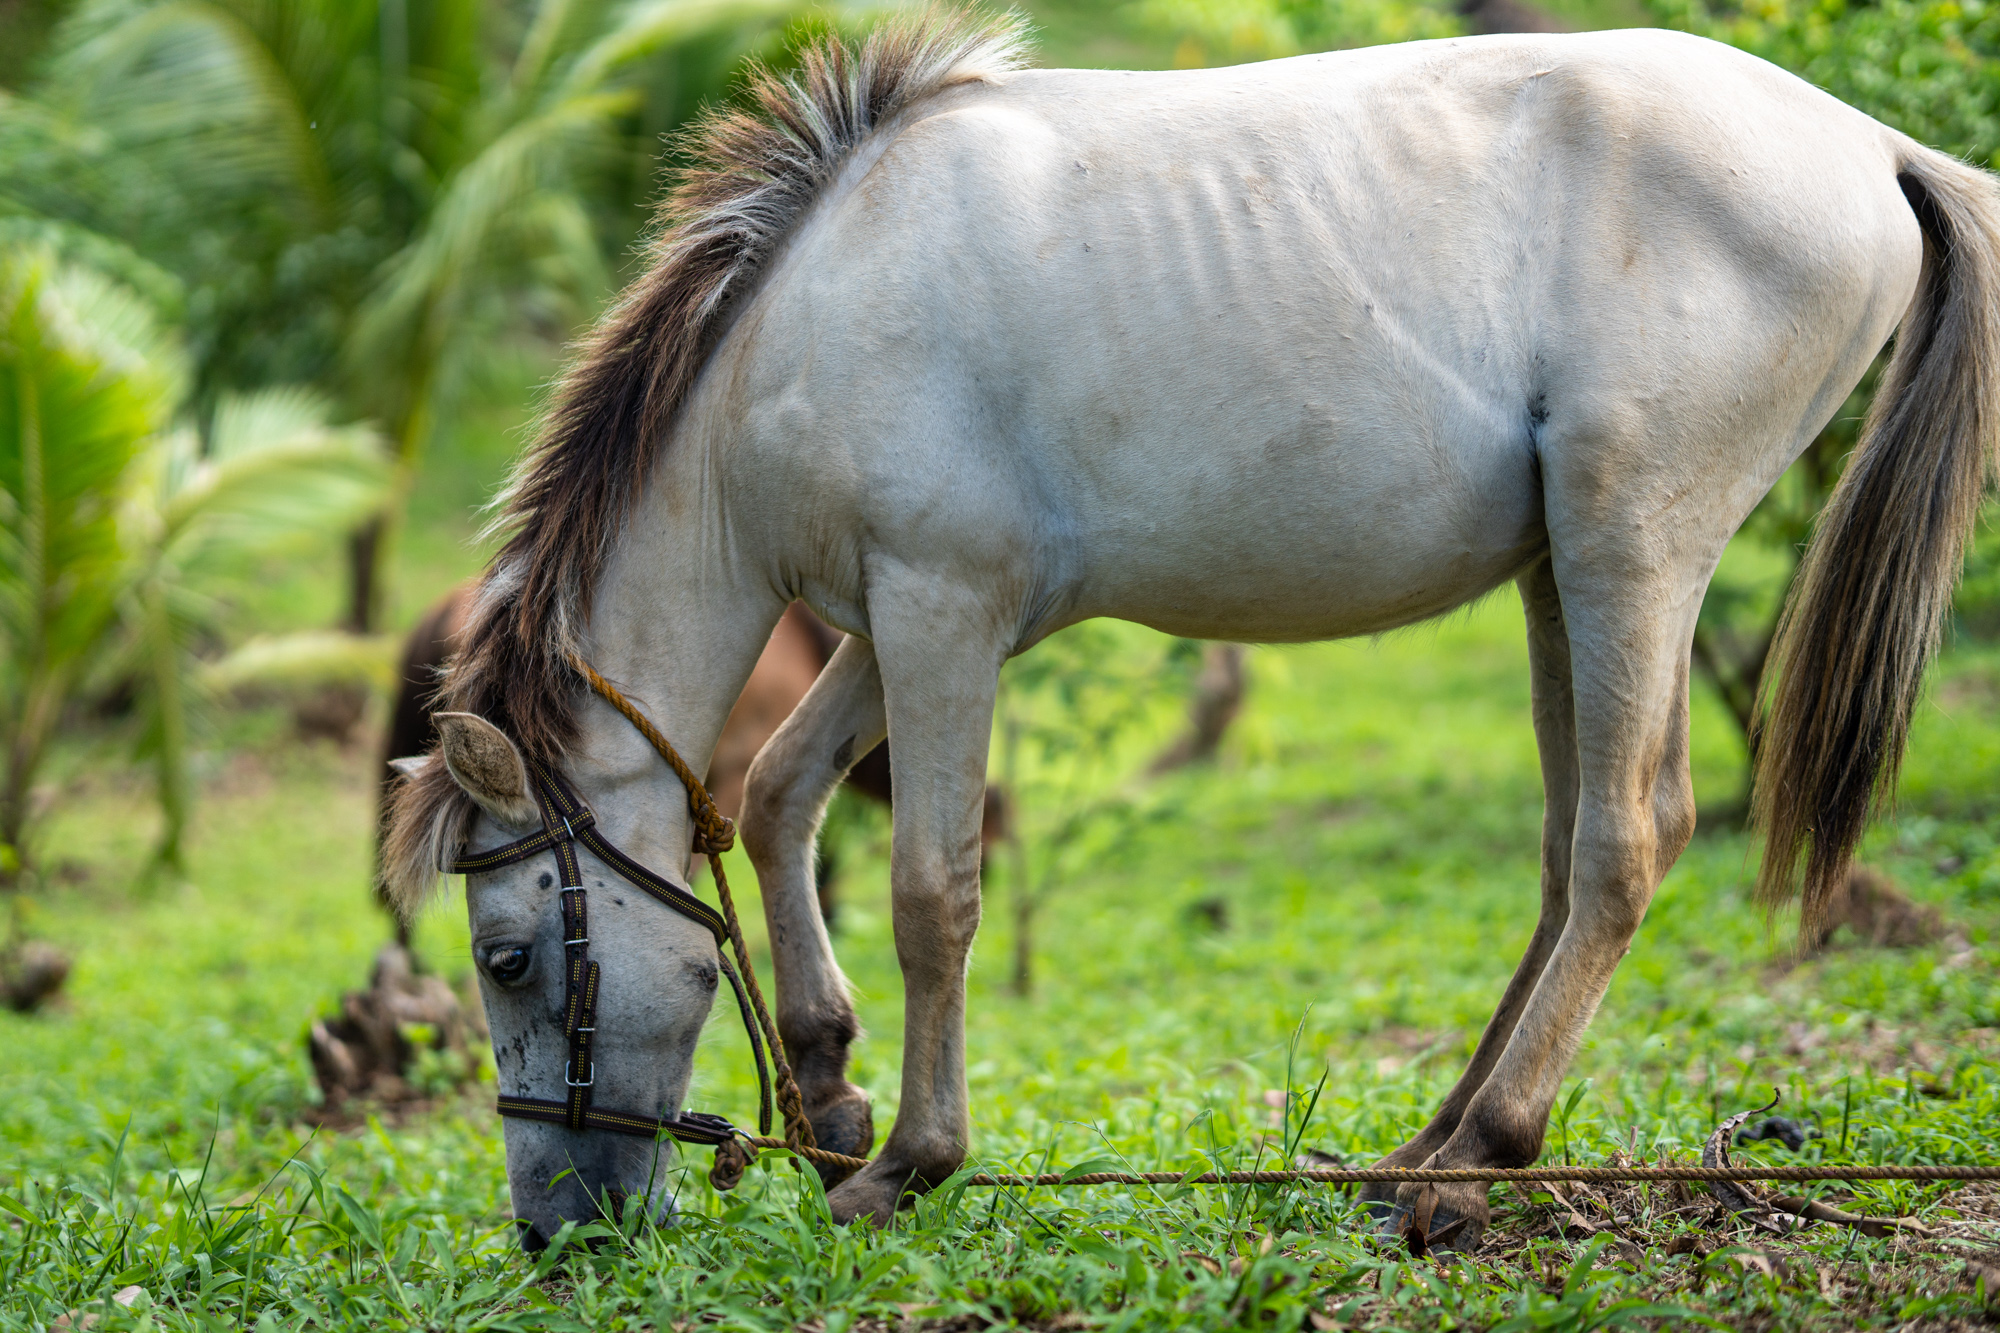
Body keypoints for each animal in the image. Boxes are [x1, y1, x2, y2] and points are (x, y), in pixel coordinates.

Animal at [383, 10, 2000, 1249]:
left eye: (506, 959)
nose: (553, 1232)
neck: (806, 328)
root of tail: (1868, 143)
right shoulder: (904, 620)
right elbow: (781, 792)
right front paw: (833, 1092)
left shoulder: (941, 610)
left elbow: (931, 891)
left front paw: (907, 1162)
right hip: (1563, 572)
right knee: (1565, 852)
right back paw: (1433, 1143)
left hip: (1632, 541)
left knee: (1626, 838)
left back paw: (1482, 1157)